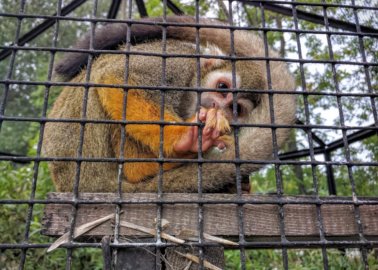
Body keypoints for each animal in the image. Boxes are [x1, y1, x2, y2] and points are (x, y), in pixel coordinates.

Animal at [42, 16, 296, 192]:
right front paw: (183, 140)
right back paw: (140, 170)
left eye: (236, 109)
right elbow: (118, 77)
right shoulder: (177, 61)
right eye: (222, 88)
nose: (218, 107)